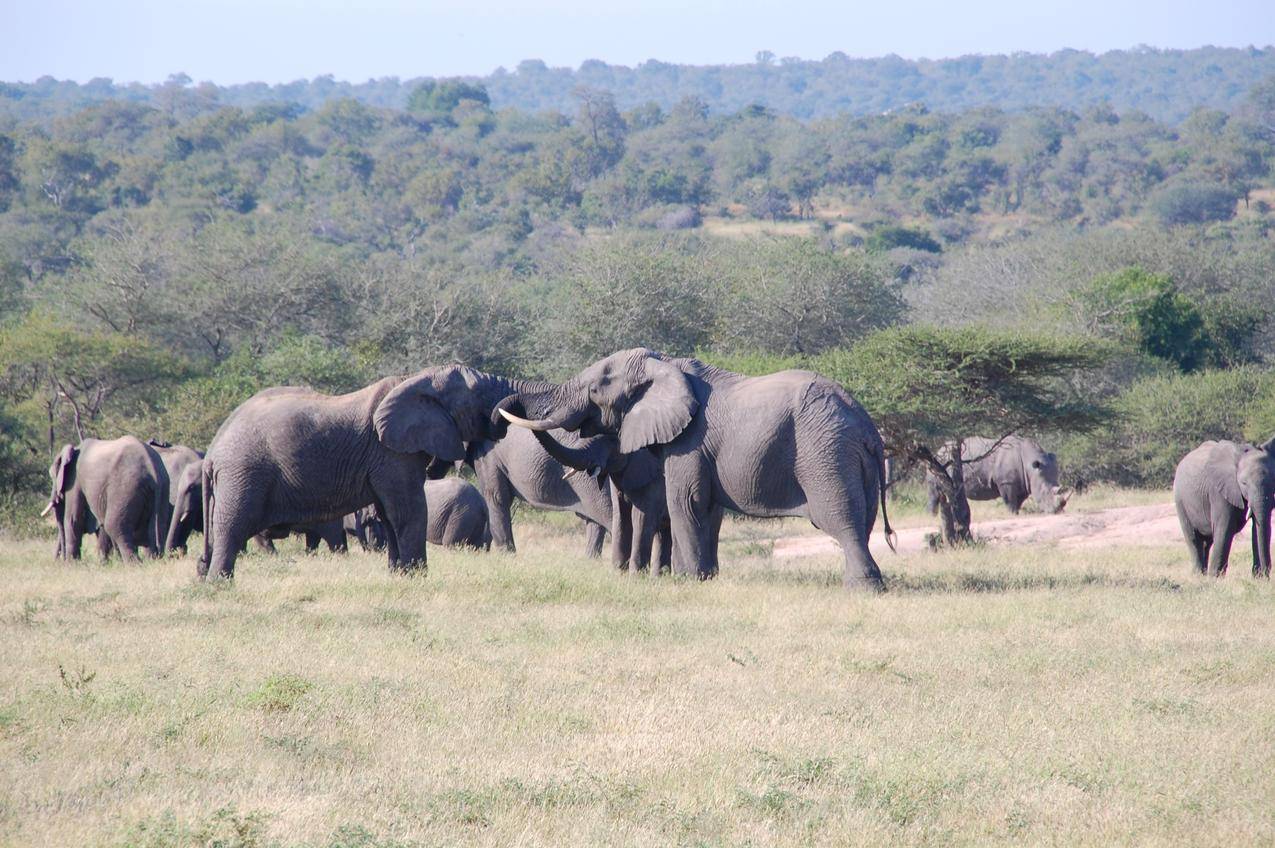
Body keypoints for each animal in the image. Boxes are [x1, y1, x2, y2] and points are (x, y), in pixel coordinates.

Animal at [201, 364, 555, 576]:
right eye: (480, 393)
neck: (413, 380)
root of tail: (211, 454)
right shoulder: (391, 453)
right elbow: (408, 509)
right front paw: (417, 577)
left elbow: (389, 514)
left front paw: (399, 575)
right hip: (244, 474)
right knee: (232, 527)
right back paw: (220, 584)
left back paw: (205, 579)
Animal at [527, 425, 673, 571]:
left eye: (613, 440)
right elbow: (620, 516)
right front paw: (619, 571)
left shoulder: (653, 482)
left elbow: (642, 520)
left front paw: (635, 574)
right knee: (664, 534)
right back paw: (662, 573)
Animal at [923, 436, 1071, 515]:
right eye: (1045, 492)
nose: (1057, 512)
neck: (1031, 465)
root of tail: (939, 450)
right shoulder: (1006, 482)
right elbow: (1010, 501)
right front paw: (1012, 514)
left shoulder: (1023, 483)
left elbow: (1018, 501)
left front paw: (1016, 514)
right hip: (938, 463)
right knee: (934, 492)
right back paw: (931, 517)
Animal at [1173, 438, 1275, 578]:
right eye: (1243, 483)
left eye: (1273, 482)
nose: (1266, 574)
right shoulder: (1219, 490)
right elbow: (1225, 528)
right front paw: (1214, 578)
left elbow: (1258, 527)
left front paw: (1258, 578)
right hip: (1180, 500)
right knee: (1193, 538)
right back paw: (1198, 575)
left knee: (1207, 542)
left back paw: (1203, 574)